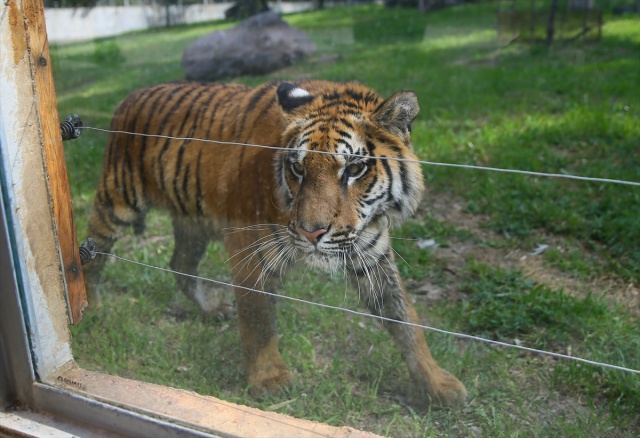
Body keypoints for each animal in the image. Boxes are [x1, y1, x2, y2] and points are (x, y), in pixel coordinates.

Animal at [84, 79, 464, 408]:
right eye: (298, 168)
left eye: (354, 169)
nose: (312, 233)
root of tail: (130, 95)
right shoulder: (249, 246)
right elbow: (258, 317)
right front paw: (269, 379)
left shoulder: (372, 255)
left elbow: (406, 320)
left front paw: (438, 383)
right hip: (118, 199)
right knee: (91, 252)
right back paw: (92, 310)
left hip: (193, 219)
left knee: (180, 265)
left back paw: (210, 309)